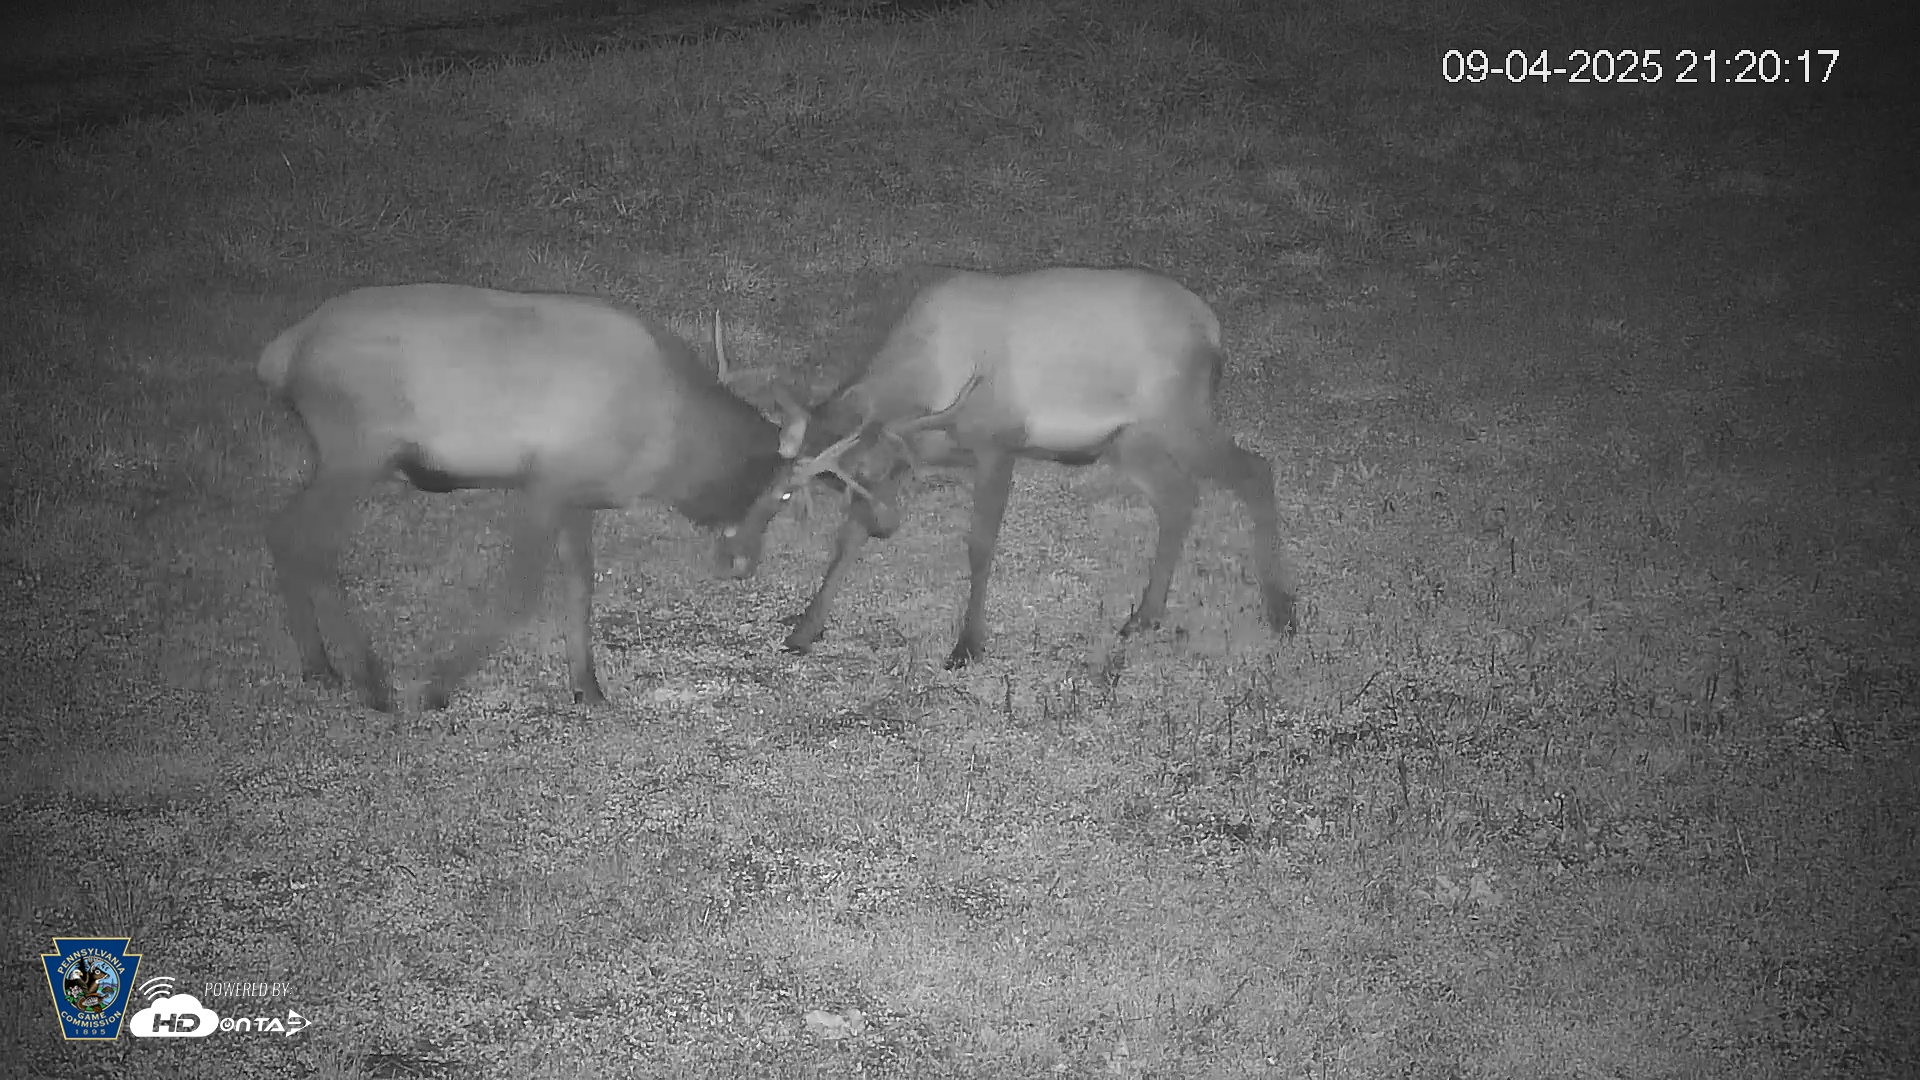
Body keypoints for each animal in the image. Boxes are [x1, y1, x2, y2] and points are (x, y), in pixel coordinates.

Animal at [257, 283, 799, 712]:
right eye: (785, 493)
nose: (742, 564)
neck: (673, 446)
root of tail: (280, 355)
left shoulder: (578, 497)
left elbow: (580, 587)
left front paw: (589, 688)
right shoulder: (546, 484)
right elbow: (522, 592)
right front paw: (437, 687)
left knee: (286, 532)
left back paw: (322, 668)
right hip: (355, 451)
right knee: (301, 537)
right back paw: (363, 678)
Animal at [717, 266, 1299, 670]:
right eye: (780, 489)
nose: (888, 523)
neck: (929, 378)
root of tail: (1212, 329)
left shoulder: (998, 445)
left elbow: (980, 544)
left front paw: (968, 645)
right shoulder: (915, 454)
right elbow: (848, 540)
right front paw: (803, 630)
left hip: (1179, 418)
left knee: (1256, 470)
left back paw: (1282, 613)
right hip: (1128, 440)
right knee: (1179, 499)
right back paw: (1143, 616)